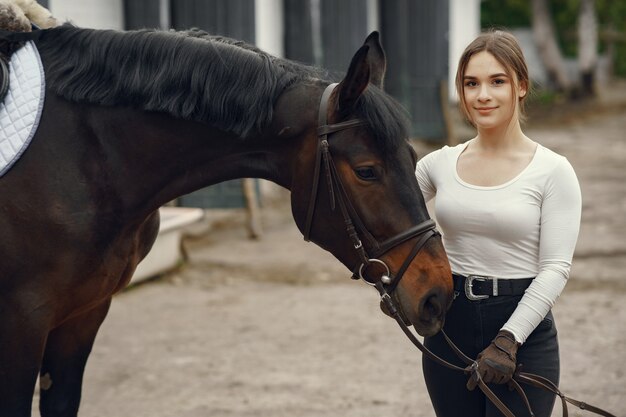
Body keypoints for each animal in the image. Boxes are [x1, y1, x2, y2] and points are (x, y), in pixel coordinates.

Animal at [0, 26, 450, 416]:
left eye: (413, 159)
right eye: (366, 171)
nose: (437, 295)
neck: (84, 154)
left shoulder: (85, 313)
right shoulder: (23, 322)